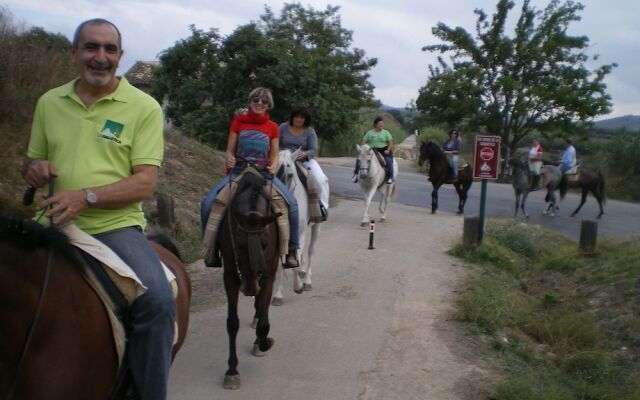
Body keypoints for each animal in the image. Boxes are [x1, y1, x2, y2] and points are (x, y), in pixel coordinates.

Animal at [216, 170, 282, 390]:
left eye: (266, 242)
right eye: (239, 243)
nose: (250, 287)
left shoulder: (268, 274)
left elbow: (263, 321)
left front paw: (264, 342)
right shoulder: (230, 276)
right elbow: (232, 323)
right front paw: (232, 370)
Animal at [270, 148, 322, 304]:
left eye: (290, 174)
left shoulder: (300, 232)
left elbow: (296, 259)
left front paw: (298, 286)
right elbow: (280, 265)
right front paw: (278, 295)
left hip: (316, 227)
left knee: (310, 251)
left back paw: (307, 281)